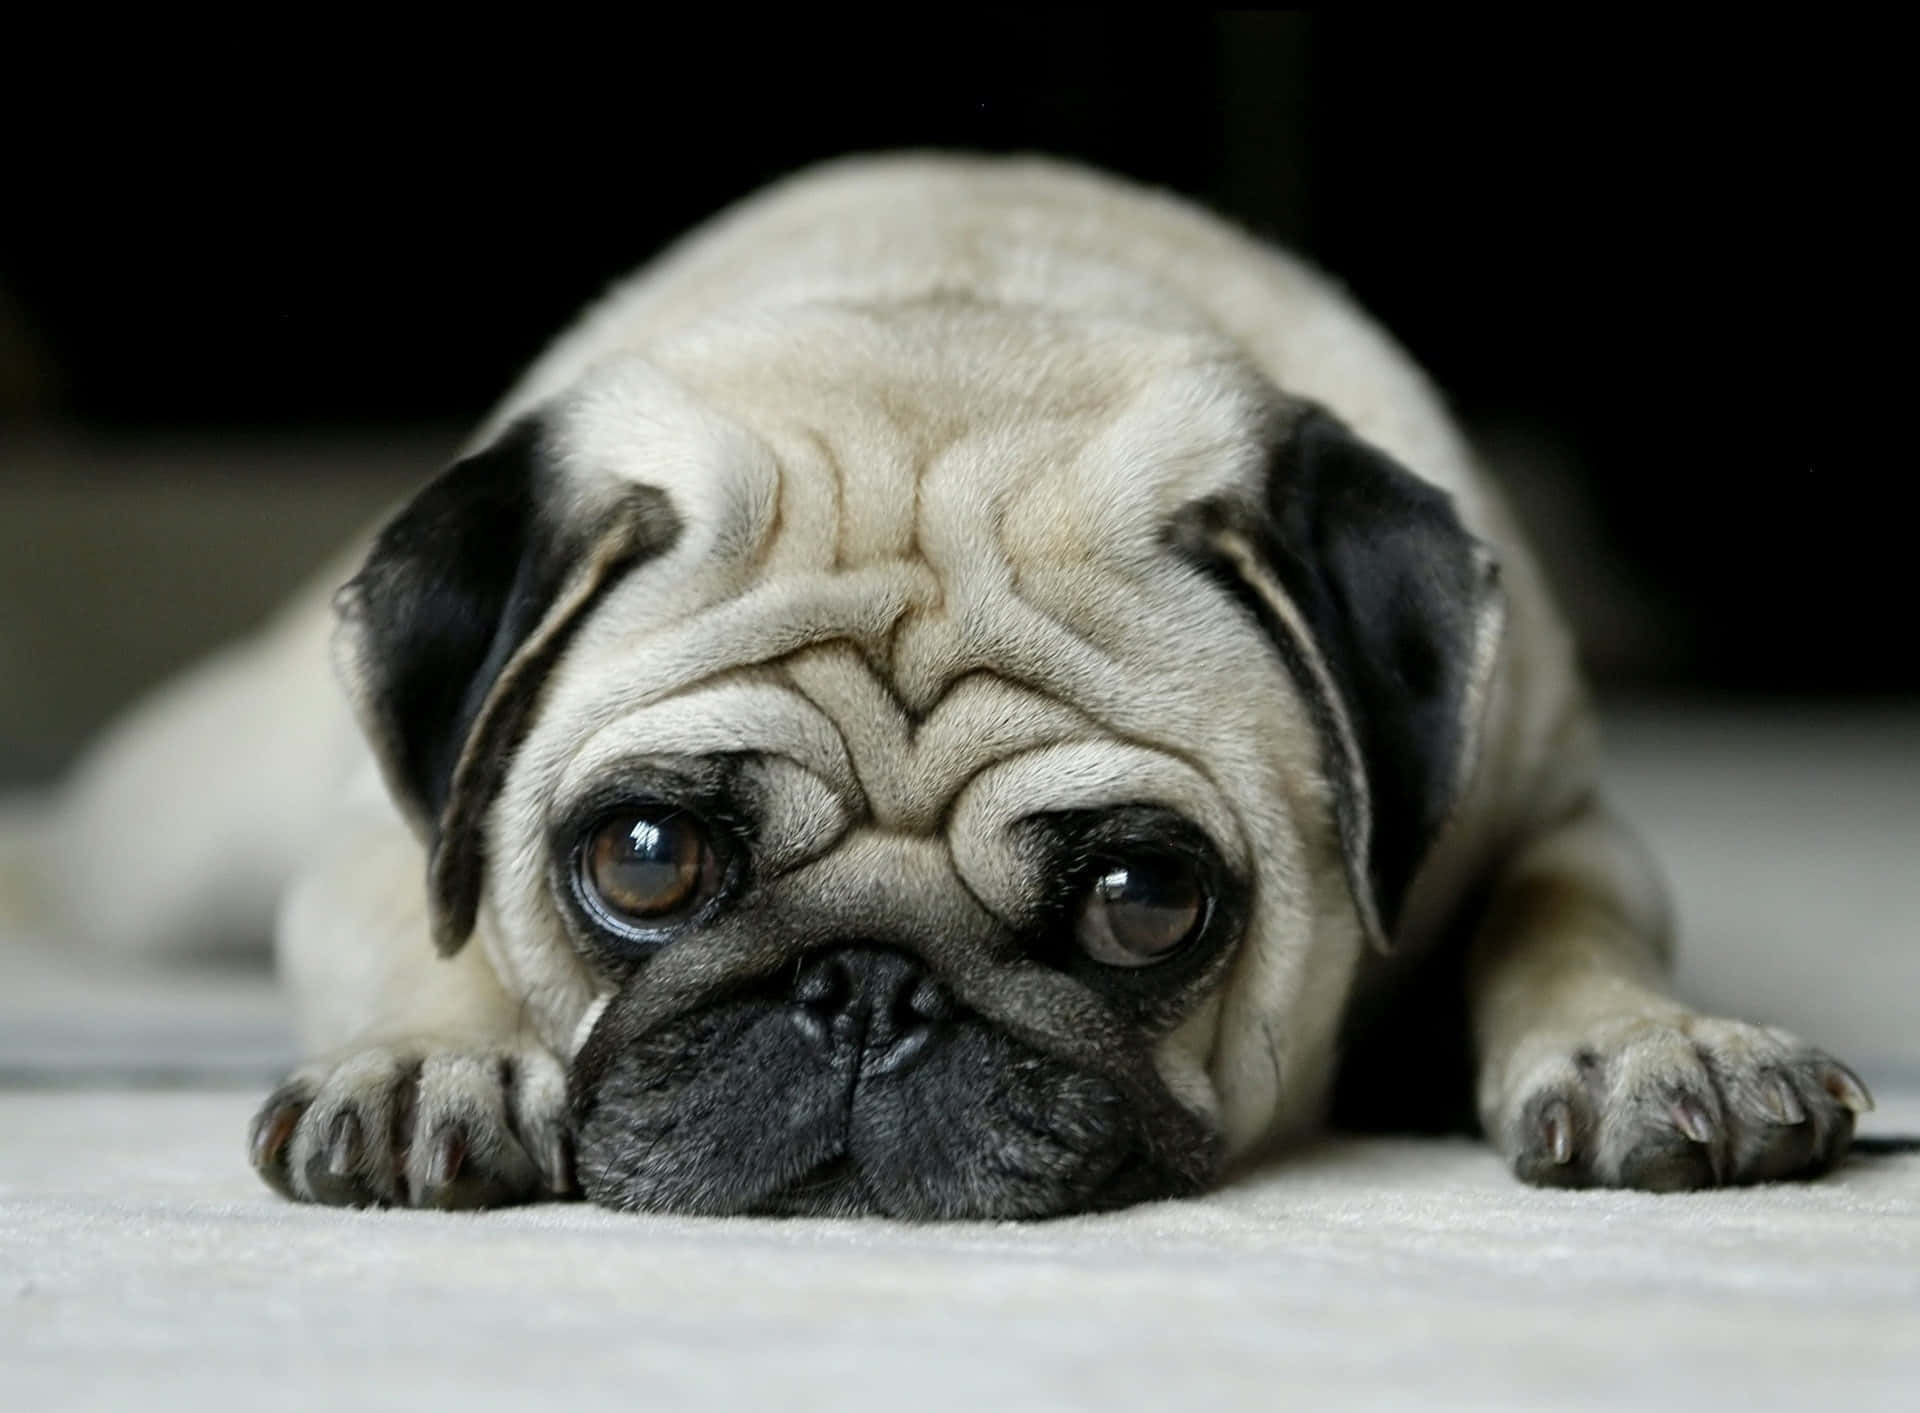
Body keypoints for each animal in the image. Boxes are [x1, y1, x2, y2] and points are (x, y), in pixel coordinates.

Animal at [48, 151, 1873, 1213]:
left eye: (1145, 898)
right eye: (645, 859)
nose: (866, 986)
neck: (969, 326)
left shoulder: (1553, 808)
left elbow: (1566, 916)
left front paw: (1651, 1047)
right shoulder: (376, 848)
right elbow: (423, 931)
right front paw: (438, 1060)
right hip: (177, 840)